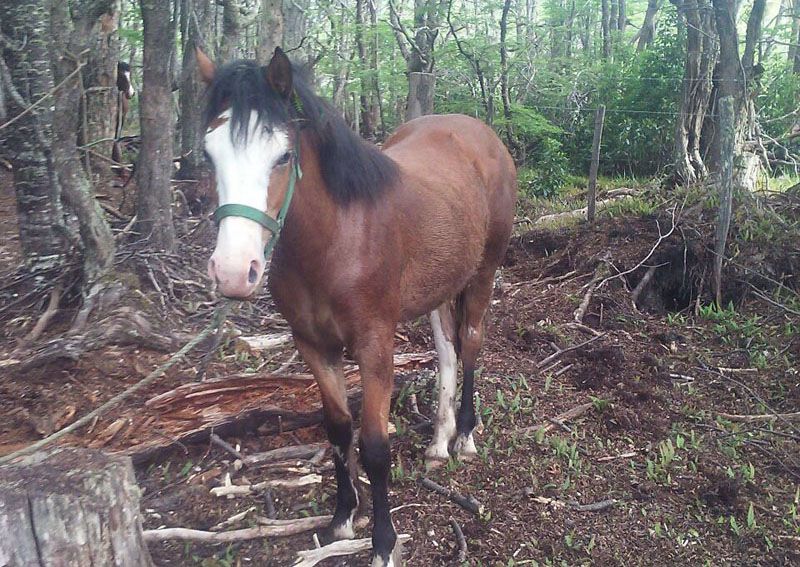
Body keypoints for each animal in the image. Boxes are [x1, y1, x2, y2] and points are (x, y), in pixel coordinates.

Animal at [197, 47, 517, 566]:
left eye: (283, 155)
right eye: (209, 154)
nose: (231, 271)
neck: (337, 239)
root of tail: (481, 135)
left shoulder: (374, 346)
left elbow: (373, 446)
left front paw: (383, 543)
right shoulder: (313, 345)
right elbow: (337, 429)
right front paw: (343, 517)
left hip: (484, 271)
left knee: (470, 344)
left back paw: (465, 435)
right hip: (441, 284)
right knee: (448, 352)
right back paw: (440, 439)